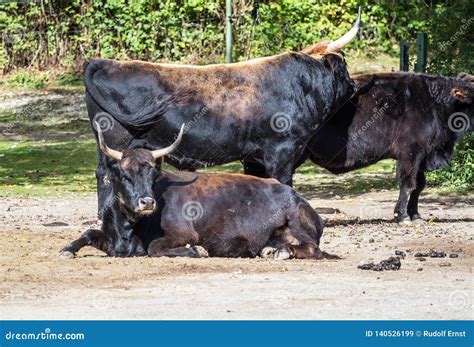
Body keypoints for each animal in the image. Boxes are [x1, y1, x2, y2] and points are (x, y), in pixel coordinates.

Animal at [59, 122, 330, 260]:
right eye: (125, 176)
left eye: (153, 175)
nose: (147, 202)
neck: (128, 230)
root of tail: (296, 196)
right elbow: (88, 233)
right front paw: (67, 249)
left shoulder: (181, 233)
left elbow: (155, 247)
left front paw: (195, 250)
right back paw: (271, 249)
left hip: (297, 222)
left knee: (312, 249)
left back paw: (283, 252)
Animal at [84, 10, 360, 215]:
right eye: (344, 64)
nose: (353, 85)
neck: (299, 85)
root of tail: (102, 62)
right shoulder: (281, 152)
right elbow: (282, 183)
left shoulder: (255, 158)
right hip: (116, 143)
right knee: (107, 174)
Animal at [306, 72, 472, 223]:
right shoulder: (410, 153)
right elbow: (408, 184)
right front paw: (402, 216)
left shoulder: (421, 157)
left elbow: (419, 185)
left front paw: (416, 216)